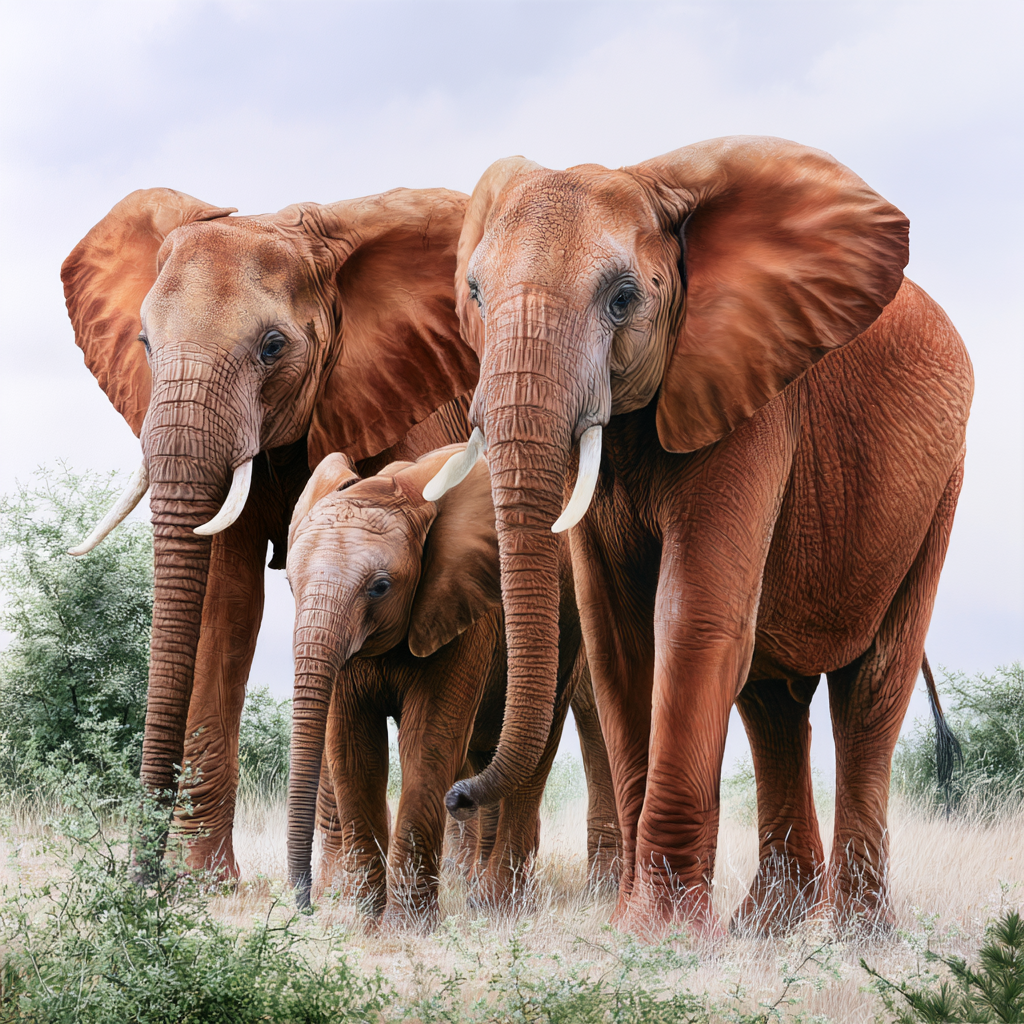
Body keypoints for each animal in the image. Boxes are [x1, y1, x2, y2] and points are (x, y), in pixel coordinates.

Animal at [285, 444, 620, 929]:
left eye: (380, 587)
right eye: (290, 584)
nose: (305, 904)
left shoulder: (462, 613)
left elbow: (427, 740)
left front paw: (404, 931)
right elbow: (352, 747)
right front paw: (366, 925)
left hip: (566, 635)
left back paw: (500, 907)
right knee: (488, 753)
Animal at [425, 136, 973, 937]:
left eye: (624, 298)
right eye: (475, 294)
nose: (457, 795)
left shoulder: (754, 397)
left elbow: (692, 623)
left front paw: (662, 934)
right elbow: (620, 641)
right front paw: (635, 925)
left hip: (937, 490)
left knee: (870, 690)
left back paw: (851, 934)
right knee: (773, 703)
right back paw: (769, 926)